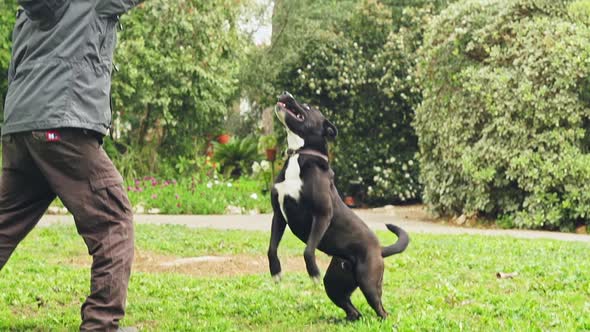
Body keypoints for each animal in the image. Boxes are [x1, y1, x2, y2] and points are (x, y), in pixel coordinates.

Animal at [270, 92, 412, 320]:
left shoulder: (322, 215)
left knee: (381, 309)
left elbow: (308, 250)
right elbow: (272, 248)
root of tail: (379, 250)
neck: (301, 155)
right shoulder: (278, 215)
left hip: (368, 282)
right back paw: (342, 319)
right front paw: (275, 271)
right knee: (353, 310)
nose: (286, 93)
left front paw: (313, 273)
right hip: (336, 281)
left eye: (307, 106)